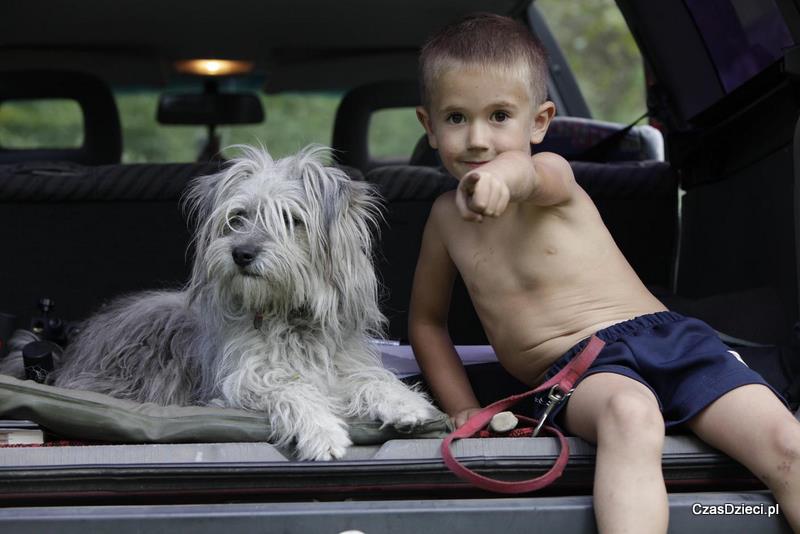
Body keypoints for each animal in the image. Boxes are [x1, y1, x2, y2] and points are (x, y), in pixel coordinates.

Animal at [48, 146, 438, 460]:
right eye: (237, 217)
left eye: (291, 219)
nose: (242, 253)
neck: (288, 317)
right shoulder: (240, 382)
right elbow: (291, 389)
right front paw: (323, 432)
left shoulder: (343, 363)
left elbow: (369, 378)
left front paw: (405, 403)